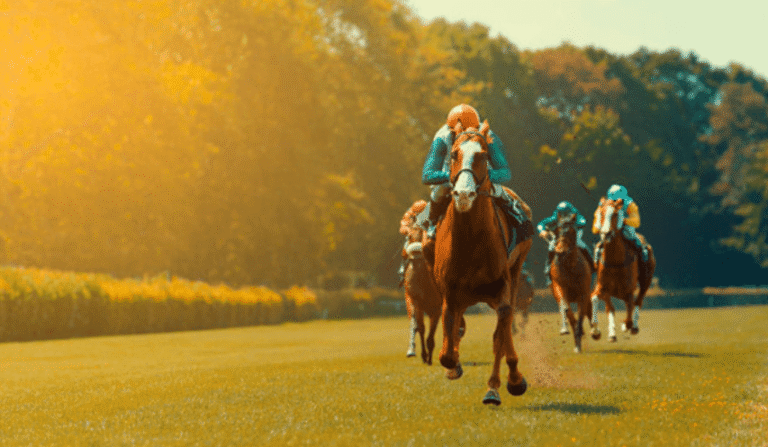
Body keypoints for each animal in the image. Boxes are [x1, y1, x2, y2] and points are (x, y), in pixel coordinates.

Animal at [431, 121, 533, 406]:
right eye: (454, 153)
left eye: (483, 156)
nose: (464, 194)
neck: (470, 239)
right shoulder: (450, 293)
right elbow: (447, 352)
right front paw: (453, 365)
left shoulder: (502, 287)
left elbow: (501, 332)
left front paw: (504, 384)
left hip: (516, 271)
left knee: (504, 327)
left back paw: (504, 383)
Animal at [549, 213, 596, 353]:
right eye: (557, 230)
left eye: (572, 231)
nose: (560, 252)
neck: (570, 265)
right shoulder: (560, 287)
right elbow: (566, 309)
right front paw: (567, 331)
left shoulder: (583, 292)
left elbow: (582, 313)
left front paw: (579, 342)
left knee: (588, 308)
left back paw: (595, 331)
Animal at [590, 197, 656, 342]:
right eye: (601, 214)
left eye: (615, 214)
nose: (606, 234)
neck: (615, 261)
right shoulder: (602, 287)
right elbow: (595, 299)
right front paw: (596, 331)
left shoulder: (629, 290)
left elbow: (630, 311)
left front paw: (626, 326)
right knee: (611, 307)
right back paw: (612, 333)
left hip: (645, 280)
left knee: (638, 301)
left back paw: (633, 327)